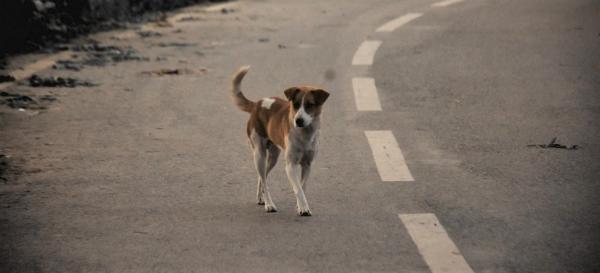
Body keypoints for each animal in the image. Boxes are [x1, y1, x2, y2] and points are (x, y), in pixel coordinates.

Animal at [230, 65, 330, 215]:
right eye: (295, 104)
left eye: (310, 105)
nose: (298, 120)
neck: (305, 134)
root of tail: (257, 104)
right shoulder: (290, 165)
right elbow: (298, 189)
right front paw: (303, 207)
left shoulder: (307, 164)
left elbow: (303, 187)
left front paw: (300, 205)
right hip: (259, 153)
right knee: (264, 180)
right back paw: (269, 204)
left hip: (273, 155)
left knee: (262, 177)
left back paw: (261, 198)